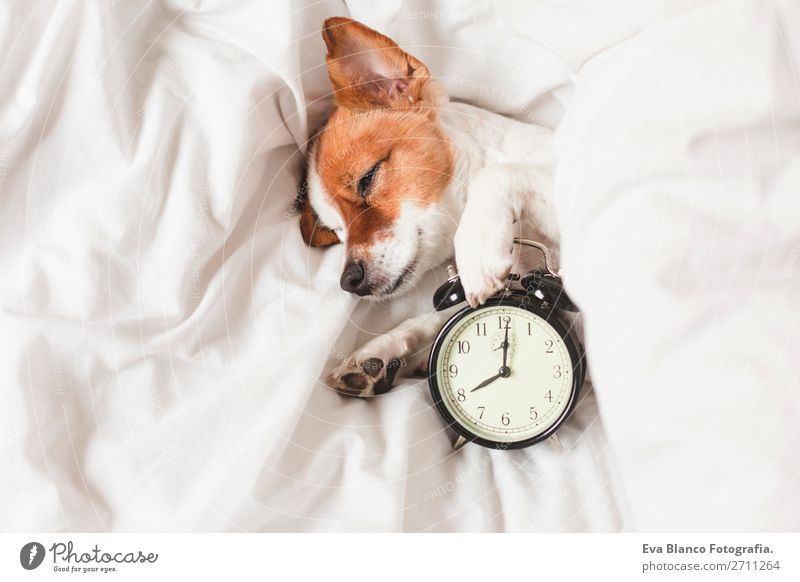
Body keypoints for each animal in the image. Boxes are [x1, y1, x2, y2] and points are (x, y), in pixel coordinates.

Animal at [298, 17, 556, 396]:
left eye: (367, 178)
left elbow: (497, 174)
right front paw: (381, 353)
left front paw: (477, 250)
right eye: (337, 231)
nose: (349, 281)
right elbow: (444, 317)